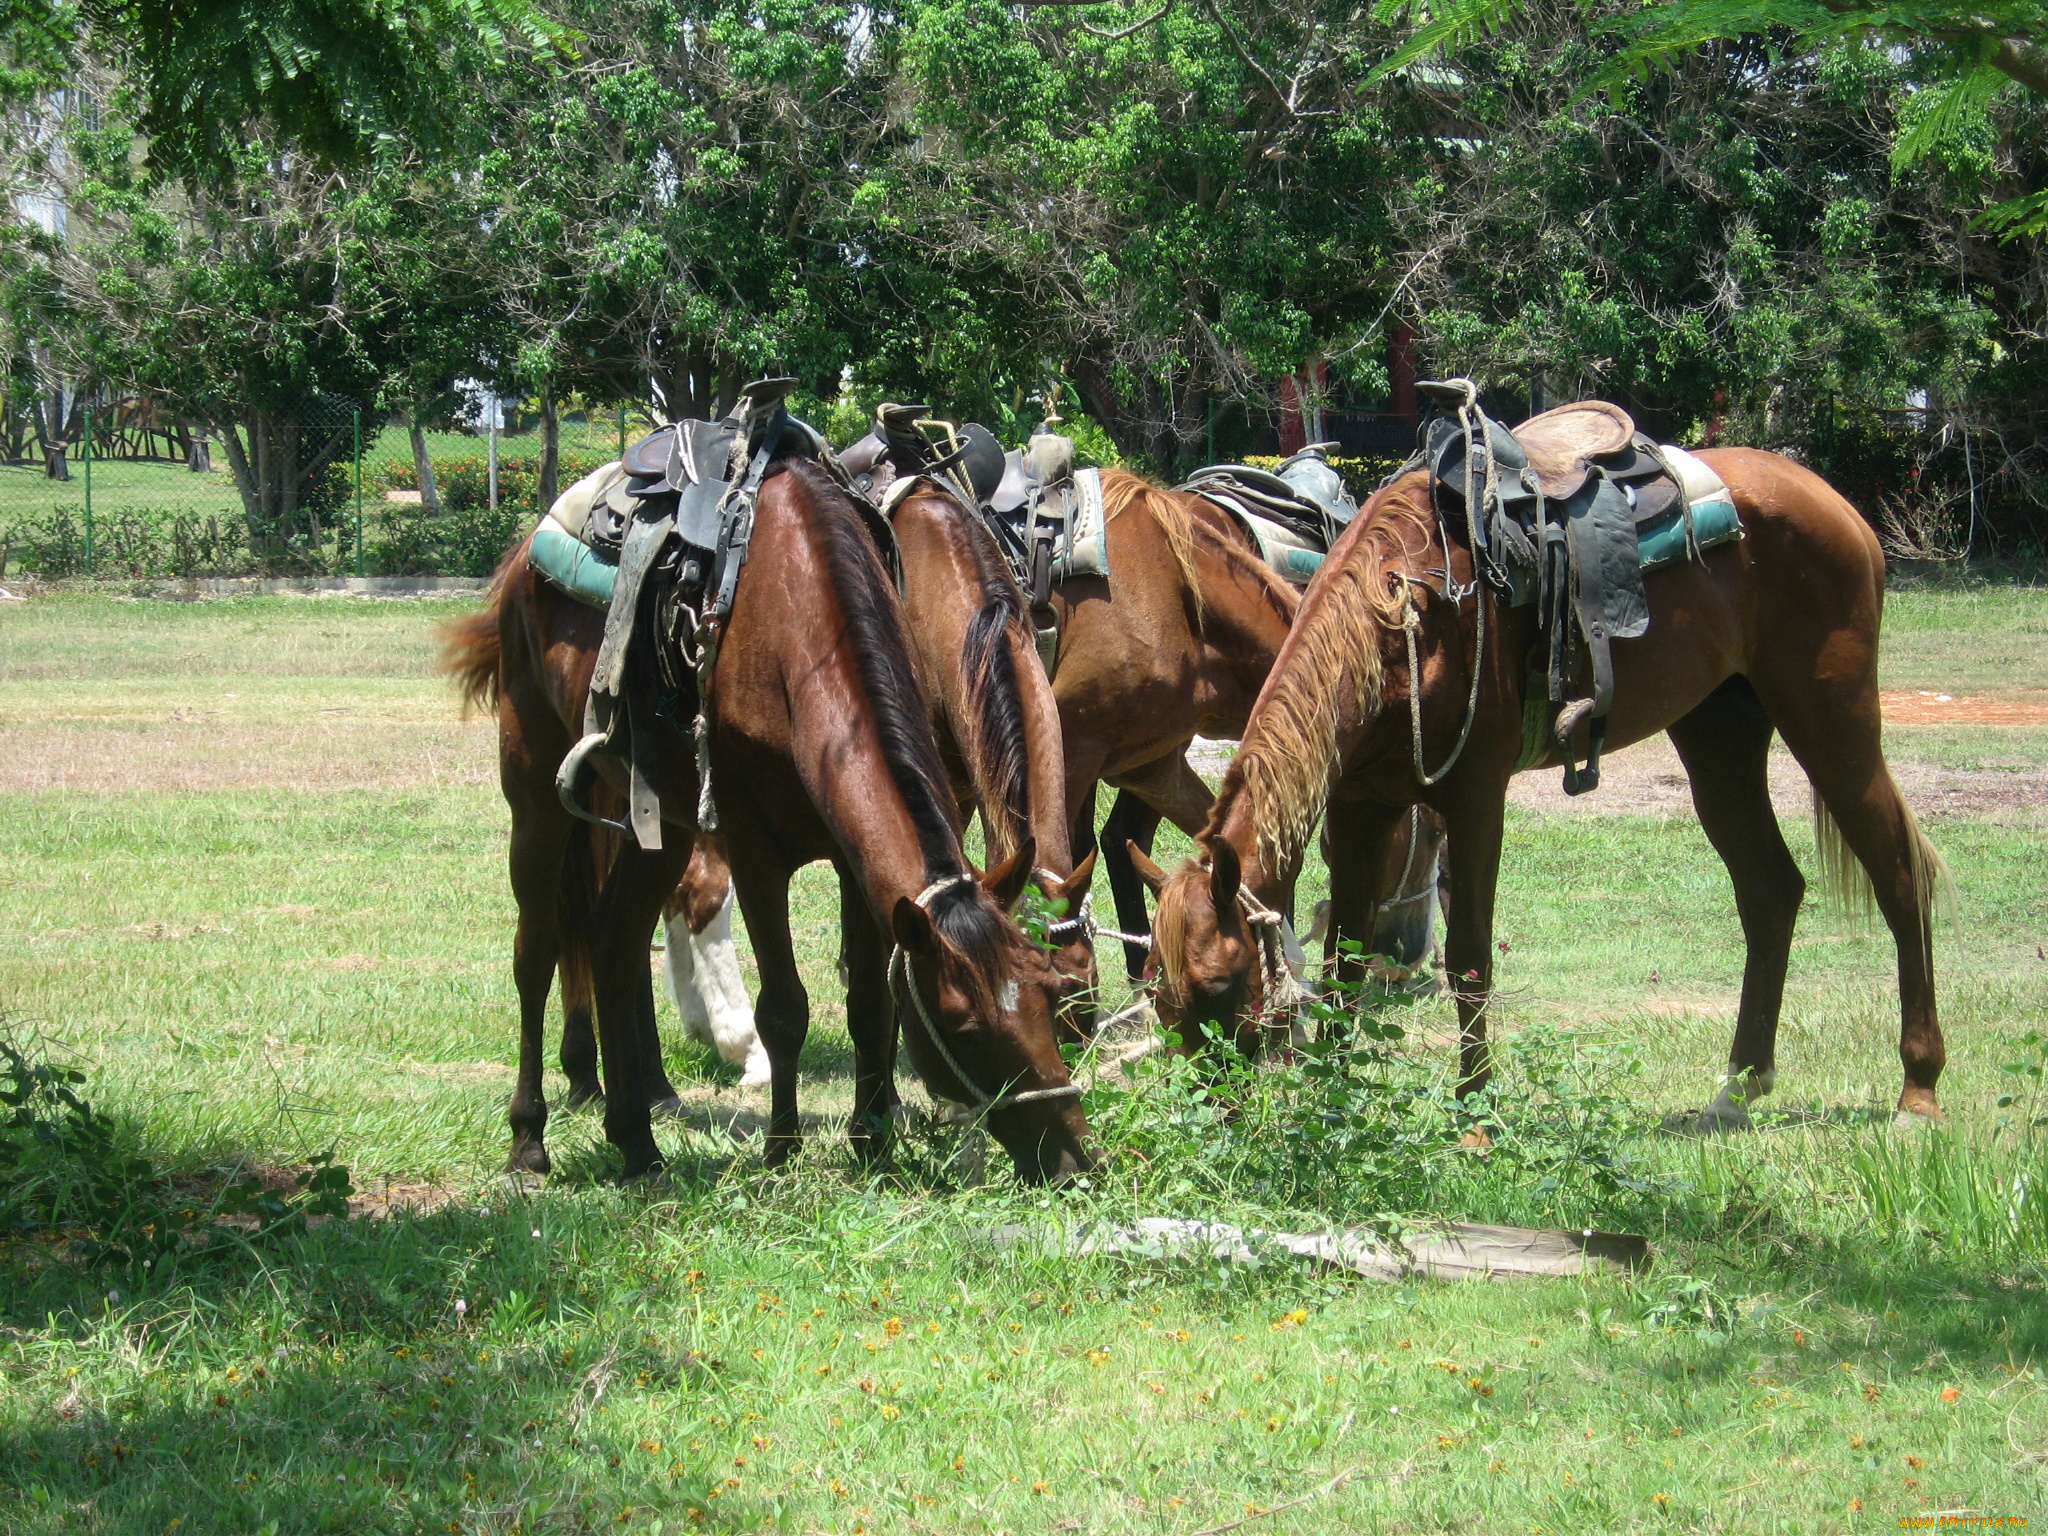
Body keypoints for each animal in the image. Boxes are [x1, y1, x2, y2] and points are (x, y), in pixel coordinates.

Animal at [1138, 450, 1949, 1138]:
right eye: (1157, 992)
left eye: (1222, 984)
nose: (1206, 1118)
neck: (1404, 622)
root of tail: (1833, 504)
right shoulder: (1360, 805)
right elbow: (1347, 960)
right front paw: (1333, 1105)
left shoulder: (1474, 800)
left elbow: (1468, 959)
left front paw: (1474, 1115)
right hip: (1720, 735)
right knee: (1770, 890)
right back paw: (1738, 1088)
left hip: (1830, 720)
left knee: (1899, 875)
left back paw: (1918, 1090)